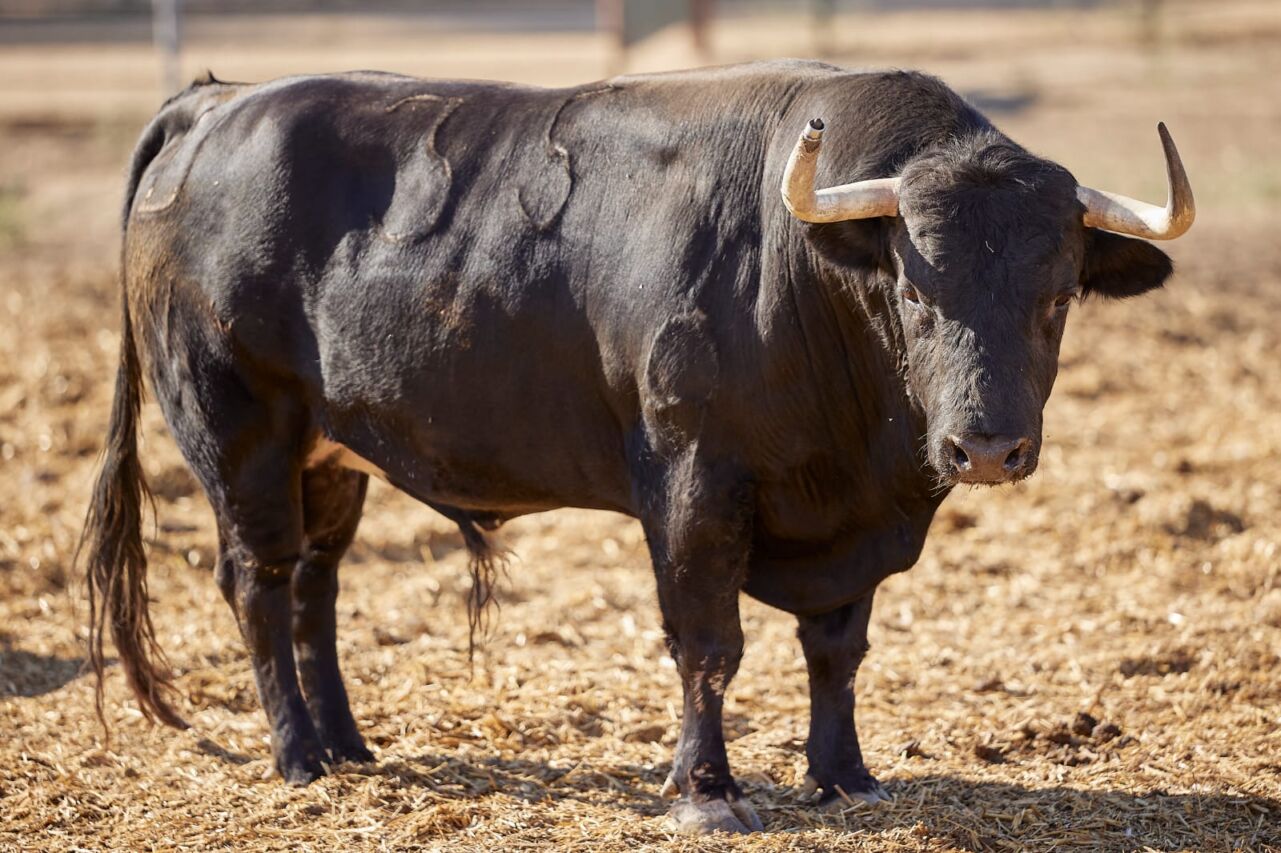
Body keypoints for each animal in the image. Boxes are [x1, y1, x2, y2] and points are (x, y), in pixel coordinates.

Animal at [85, 61, 1193, 829]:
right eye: (917, 295)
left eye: (1057, 298)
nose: (988, 448)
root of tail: (219, 103)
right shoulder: (692, 483)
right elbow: (707, 641)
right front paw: (706, 790)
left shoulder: (851, 521)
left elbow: (837, 648)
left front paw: (845, 776)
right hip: (240, 433)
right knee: (259, 583)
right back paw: (297, 755)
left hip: (331, 454)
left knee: (316, 586)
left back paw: (349, 746)